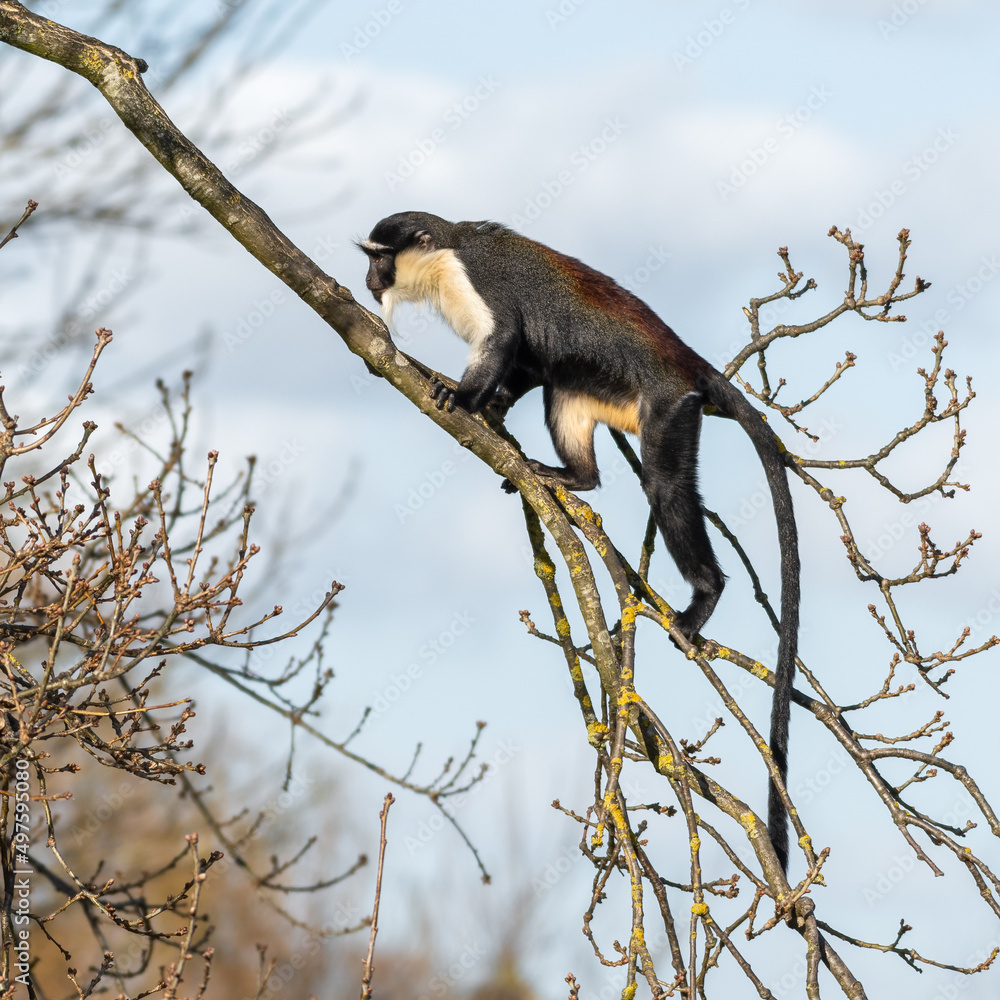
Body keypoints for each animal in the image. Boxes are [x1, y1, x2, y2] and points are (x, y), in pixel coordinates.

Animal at [358, 211, 800, 872]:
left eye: (379, 258)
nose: (367, 281)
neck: (446, 253)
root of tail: (687, 362)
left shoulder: (475, 280)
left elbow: (504, 342)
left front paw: (463, 398)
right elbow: (526, 367)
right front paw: (493, 408)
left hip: (668, 408)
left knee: (665, 485)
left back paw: (704, 596)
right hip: (608, 392)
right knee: (562, 389)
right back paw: (574, 478)